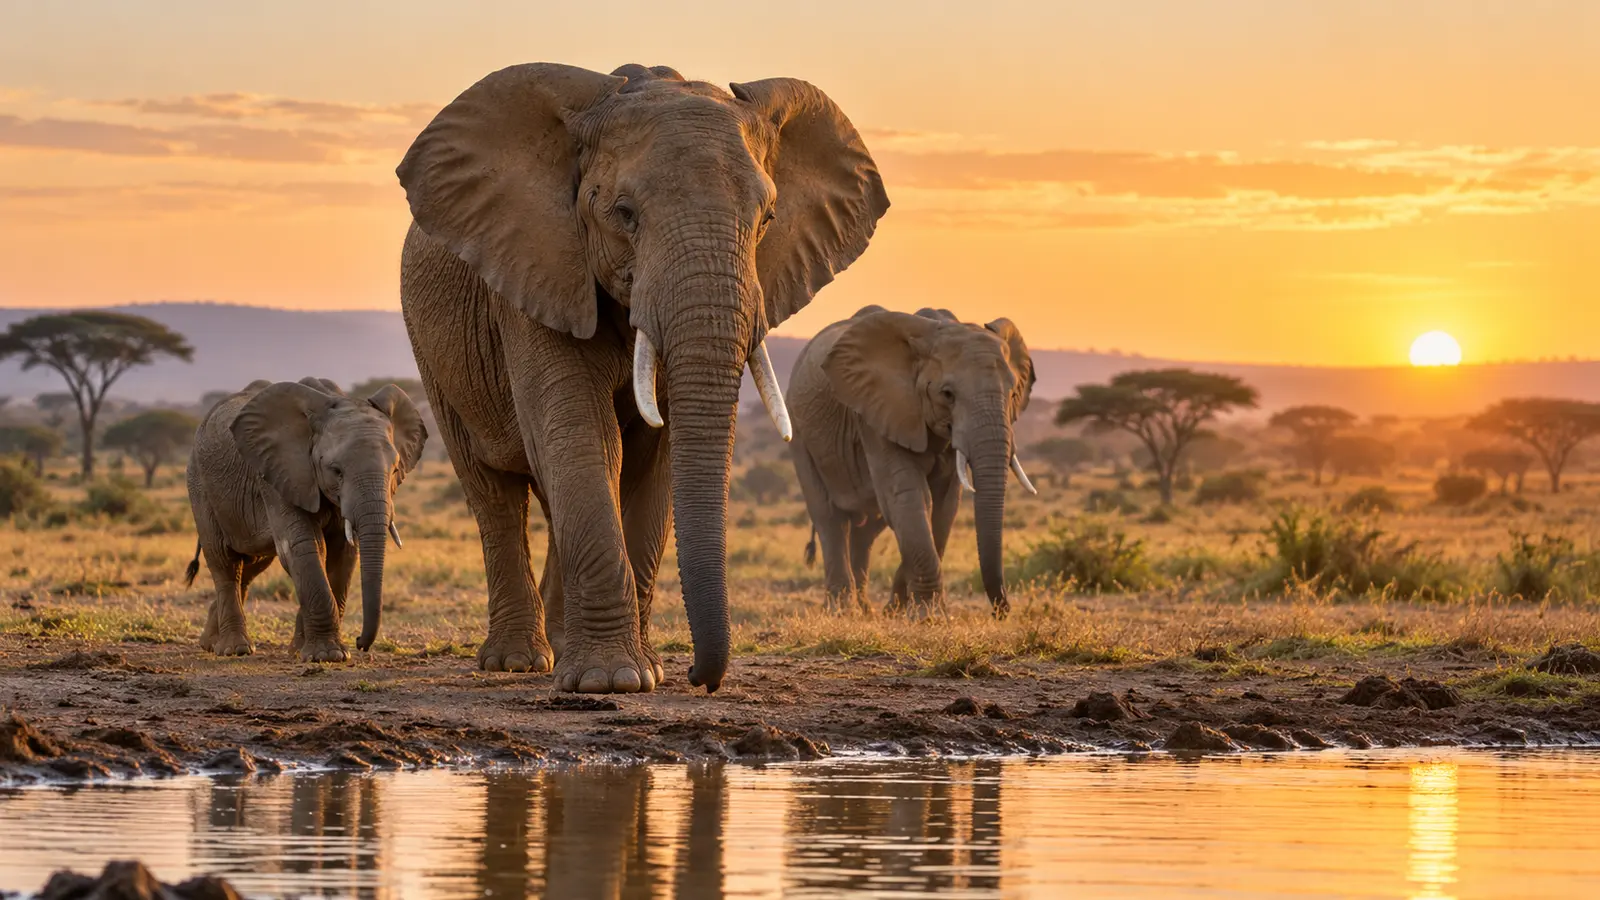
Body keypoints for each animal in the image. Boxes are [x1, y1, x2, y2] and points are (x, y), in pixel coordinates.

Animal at [183, 377, 427, 660]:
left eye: (396, 469)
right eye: (336, 471)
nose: (359, 642)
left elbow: (342, 554)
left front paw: (302, 650)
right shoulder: (278, 473)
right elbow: (304, 546)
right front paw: (327, 655)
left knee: (251, 565)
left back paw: (210, 643)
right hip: (199, 485)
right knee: (225, 562)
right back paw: (234, 649)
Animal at [395, 62, 888, 692]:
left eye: (768, 220)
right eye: (624, 213)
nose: (701, 676)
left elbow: (656, 453)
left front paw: (643, 670)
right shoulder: (539, 270)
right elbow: (581, 433)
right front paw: (610, 681)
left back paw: (559, 646)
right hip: (432, 352)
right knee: (494, 492)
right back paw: (518, 661)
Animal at [787, 306, 1037, 616]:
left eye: (1013, 393)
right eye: (947, 394)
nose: (1001, 611)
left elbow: (943, 506)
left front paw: (900, 609)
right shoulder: (877, 412)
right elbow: (907, 495)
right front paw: (928, 616)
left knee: (868, 528)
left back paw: (867, 610)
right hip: (798, 432)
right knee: (829, 517)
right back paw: (842, 610)